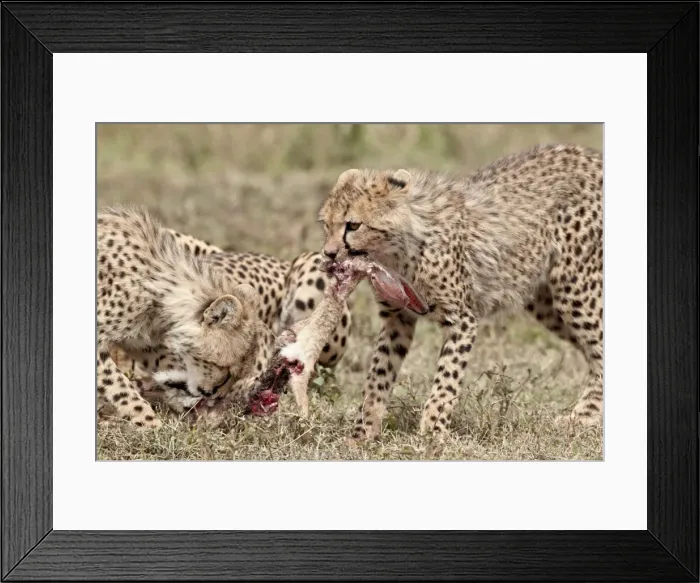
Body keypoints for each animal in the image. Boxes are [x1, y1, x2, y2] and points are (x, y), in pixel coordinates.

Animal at [317, 143, 603, 441]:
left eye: (353, 225)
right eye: (326, 224)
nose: (329, 253)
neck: (397, 250)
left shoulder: (462, 319)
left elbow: (446, 378)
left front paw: (432, 433)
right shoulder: (397, 317)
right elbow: (379, 373)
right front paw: (362, 433)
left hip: (575, 287)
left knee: (599, 348)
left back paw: (584, 415)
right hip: (546, 303)